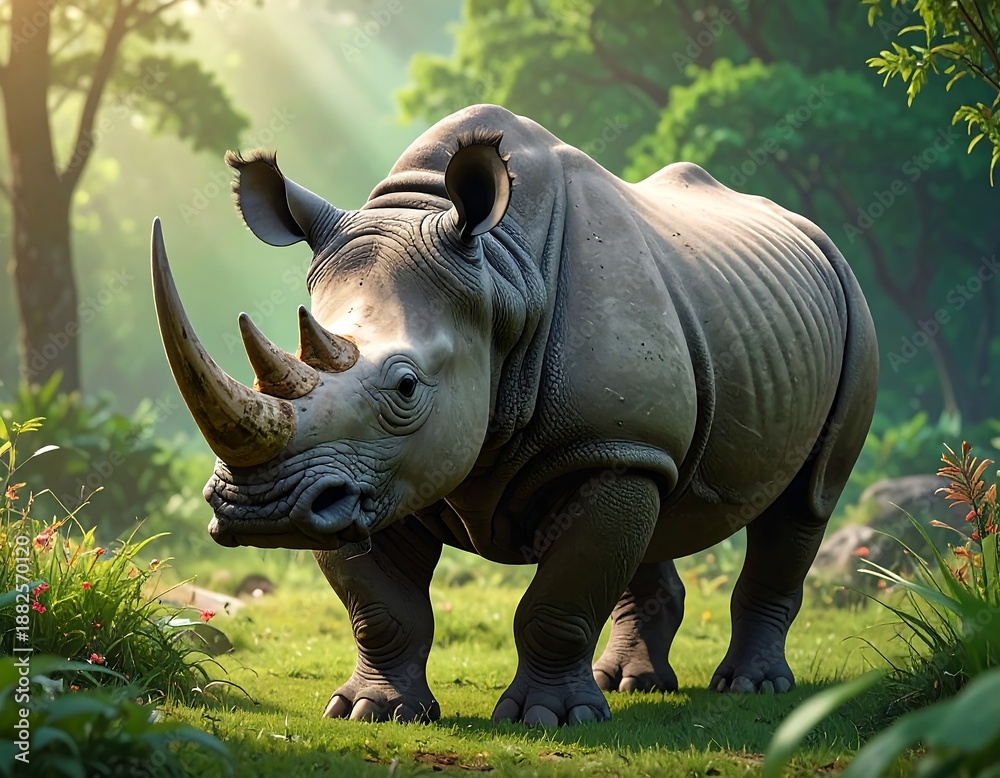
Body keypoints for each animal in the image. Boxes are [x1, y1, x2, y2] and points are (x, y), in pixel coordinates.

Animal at [151, 104, 878, 726]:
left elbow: (559, 599)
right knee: (661, 498)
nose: (262, 508)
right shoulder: (366, 478)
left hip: (852, 307)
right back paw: (632, 685)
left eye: (406, 387)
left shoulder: (595, 441)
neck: (501, 278)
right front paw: (371, 712)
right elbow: (383, 609)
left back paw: (750, 687)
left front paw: (548, 719)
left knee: (806, 501)